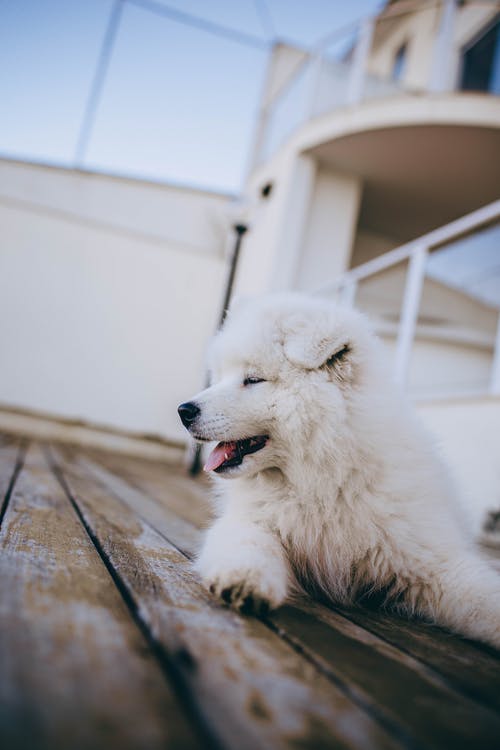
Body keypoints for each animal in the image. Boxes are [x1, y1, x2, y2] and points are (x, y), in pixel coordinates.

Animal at [178, 294, 500, 652]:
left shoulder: (429, 557)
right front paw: (245, 580)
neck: (324, 477)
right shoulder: (252, 520)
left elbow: (482, 596)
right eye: (220, 375)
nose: (184, 411)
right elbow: (249, 543)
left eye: (254, 379)